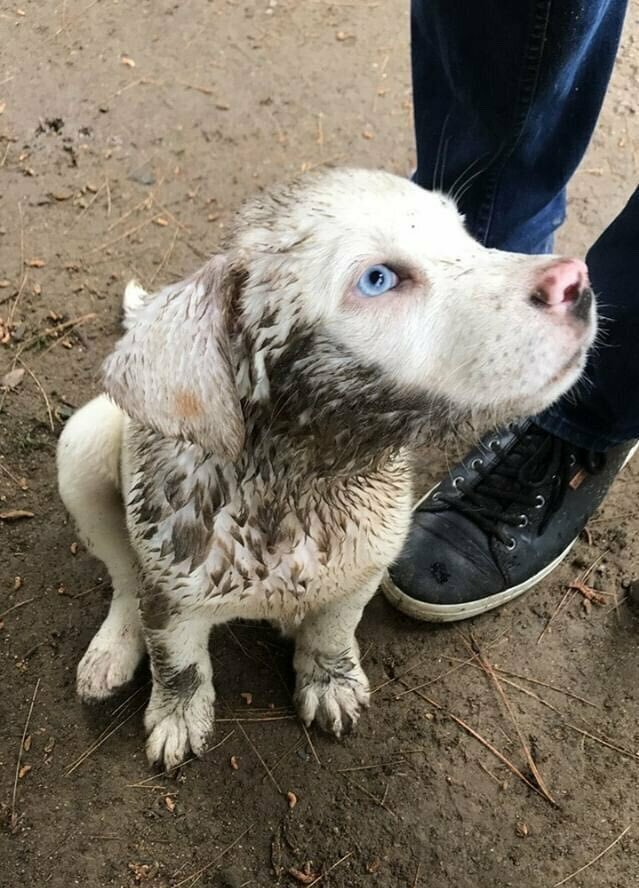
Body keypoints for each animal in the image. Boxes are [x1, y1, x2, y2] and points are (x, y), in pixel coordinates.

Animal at [57, 168, 596, 772]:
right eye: (378, 279)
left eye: (465, 235)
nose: (575, 281)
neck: (297, 486)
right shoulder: (172, 596)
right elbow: (180, 662)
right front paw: (177, 715)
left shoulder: (367, 565)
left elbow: (333, 630)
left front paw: (330, 681)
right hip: (81, 450)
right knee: (123, 574)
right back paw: (113, 648)